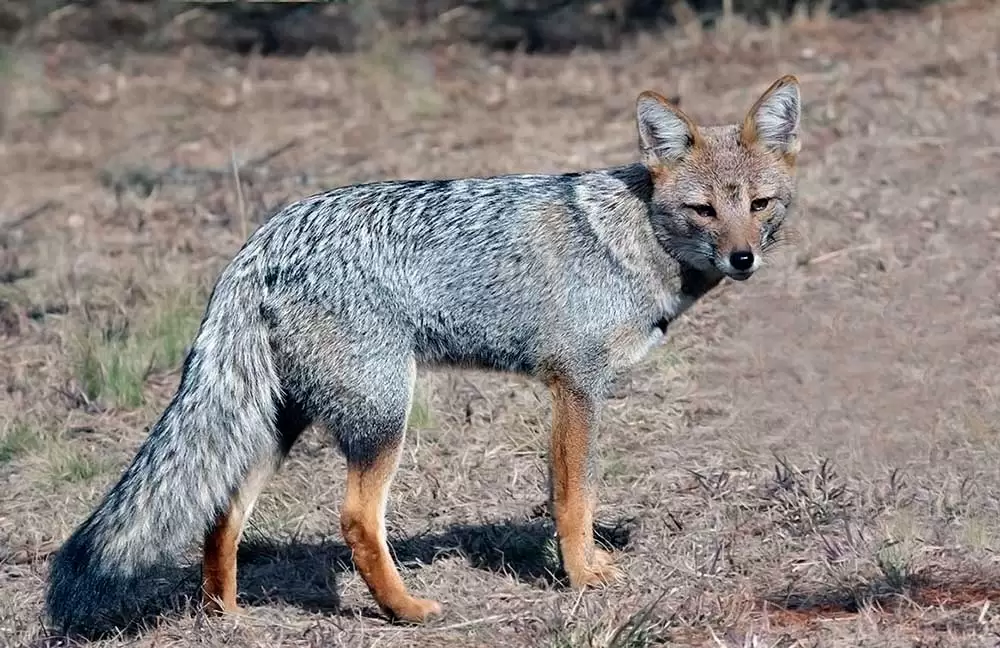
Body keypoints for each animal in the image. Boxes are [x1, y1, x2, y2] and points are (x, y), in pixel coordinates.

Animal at [45, 75, 801, 636]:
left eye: (761, 205)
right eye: (704, 210)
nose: (744, 259)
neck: (632, 235)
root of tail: (263, 239)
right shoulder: (576, 387)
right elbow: (573, 498)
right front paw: (584, 577)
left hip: (277, 424)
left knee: (222, 513)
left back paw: (228, 618)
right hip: (384, 416)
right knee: (354, 519)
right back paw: (405, 610)